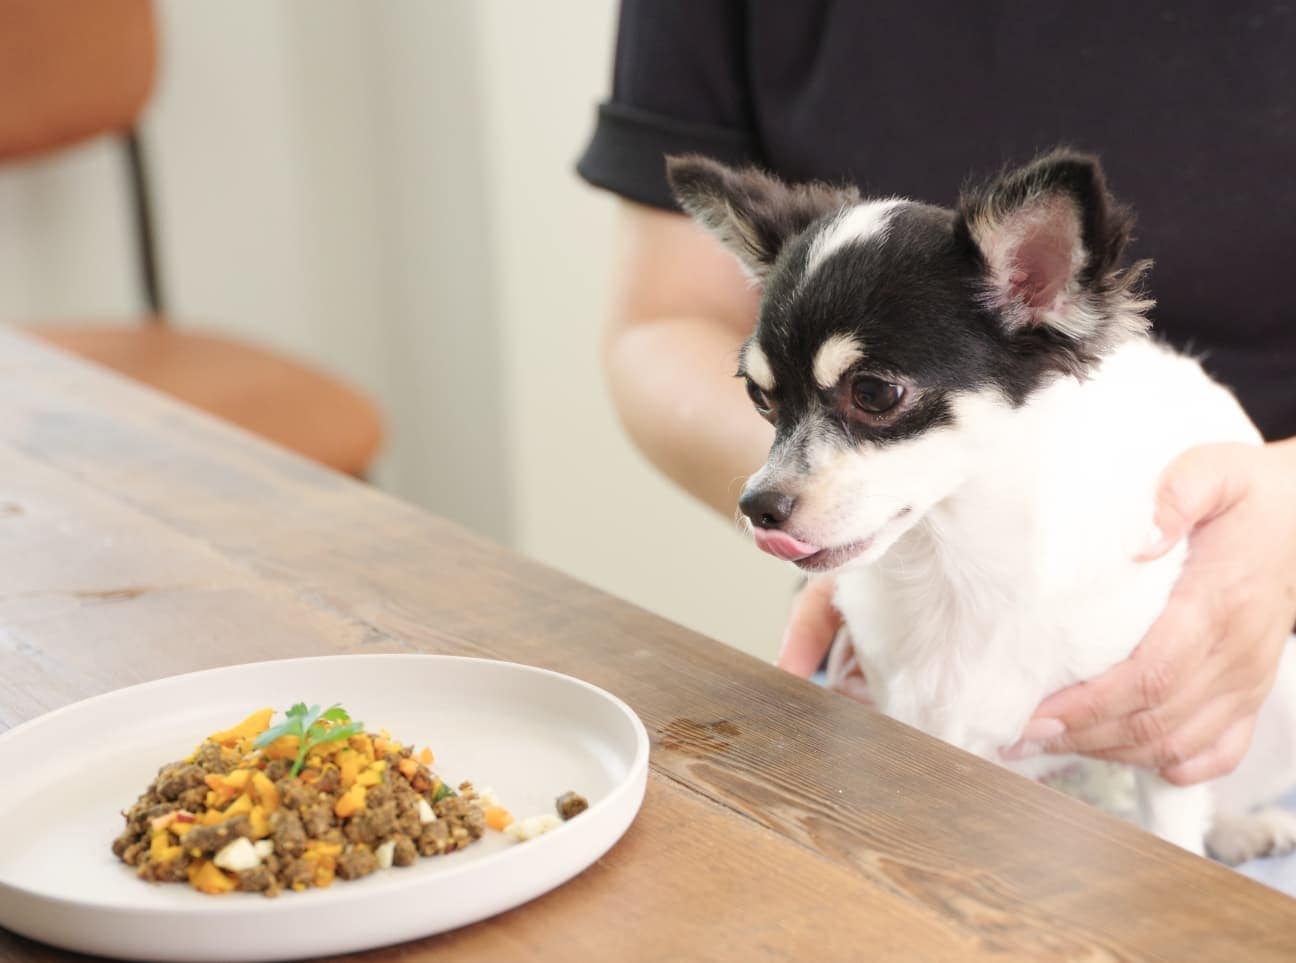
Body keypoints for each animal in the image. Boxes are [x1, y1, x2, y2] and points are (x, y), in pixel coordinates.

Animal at [668, 152, 1296, 865]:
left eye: (874, 392)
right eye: (760, 398)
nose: (758, 505)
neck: (957, 559)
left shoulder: (1167, 731)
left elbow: (1172, 826)